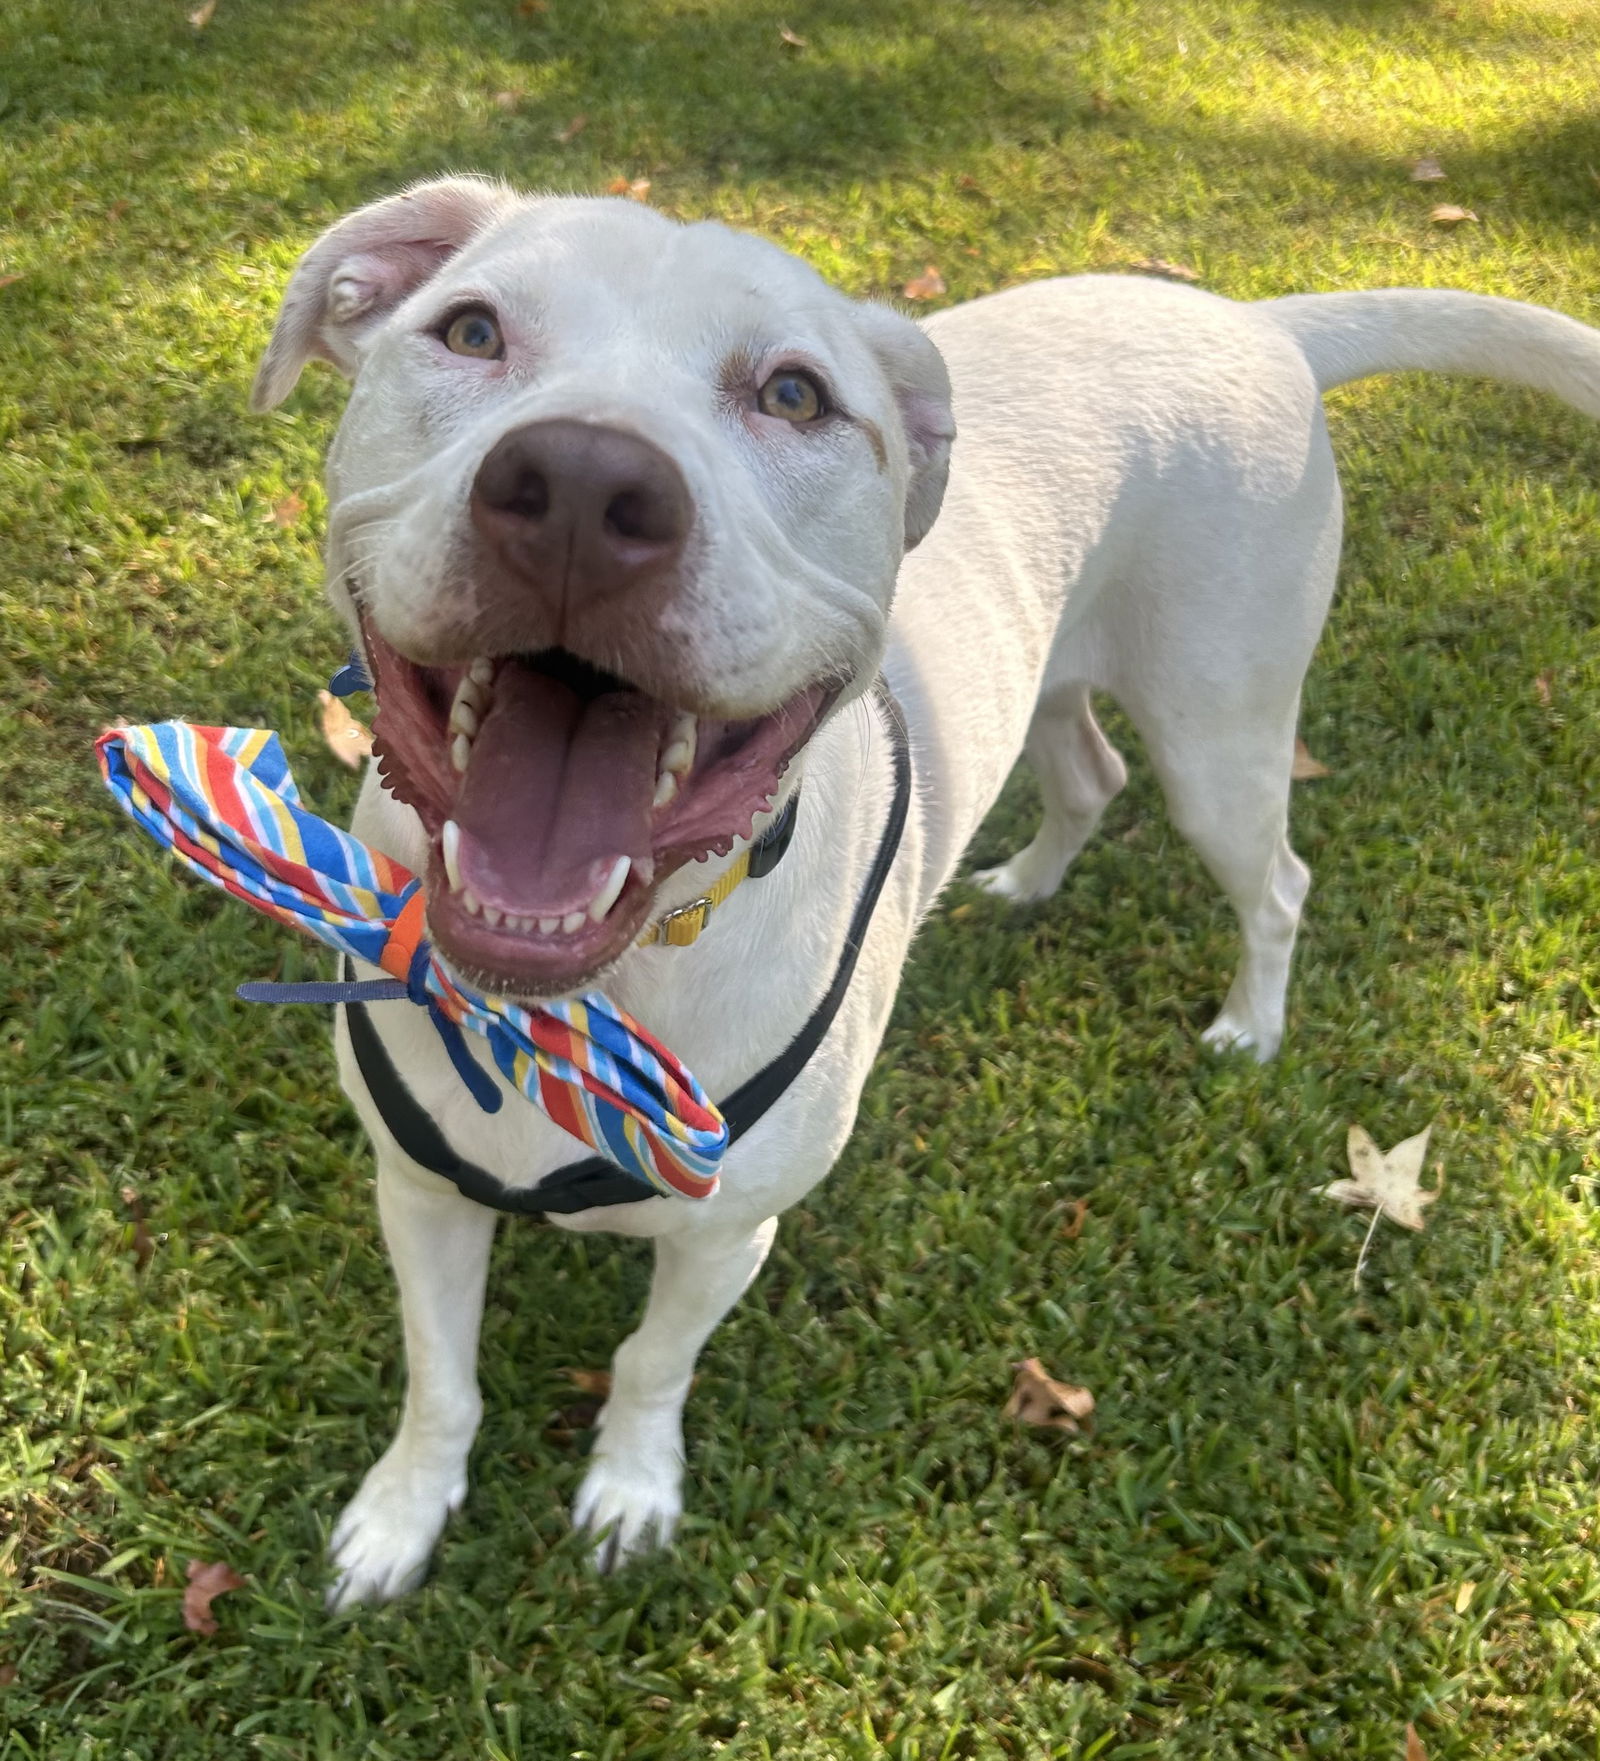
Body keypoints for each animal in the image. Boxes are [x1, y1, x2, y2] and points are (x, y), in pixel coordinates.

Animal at [246, 178, 1598, 1613]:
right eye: (471, 329)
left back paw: (1251, 1025)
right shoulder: (419, 1191)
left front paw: (629, 1493)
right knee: (1087, 772)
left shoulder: (726, 1236)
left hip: (1219, 736)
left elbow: (651, 1365)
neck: (602, 983)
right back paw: (1019, 881)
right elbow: (439, 1380)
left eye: (794, 395)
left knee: (1276, 878)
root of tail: (1252, 319)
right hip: (1056, 676)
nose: (578, 489)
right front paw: (401, 1516)